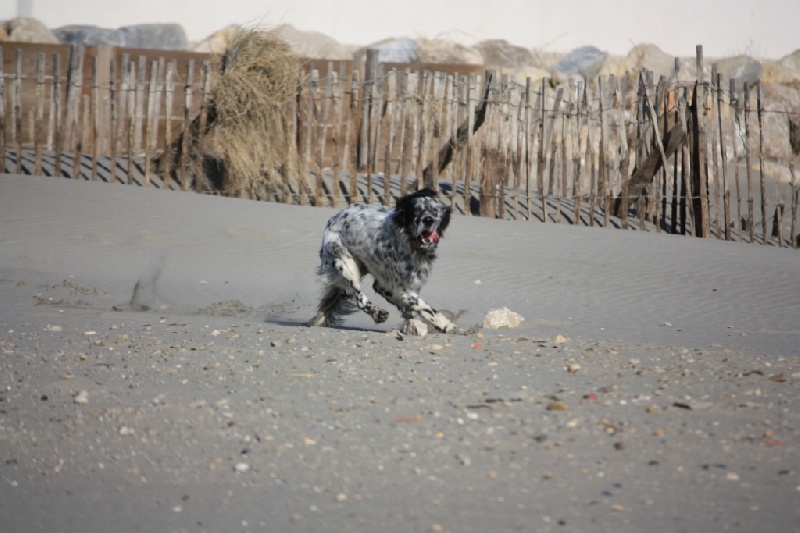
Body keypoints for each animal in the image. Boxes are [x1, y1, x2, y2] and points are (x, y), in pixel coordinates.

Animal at [310, 188, 462, 332]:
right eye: (417, 210)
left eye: (435, 210)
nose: (428, 220)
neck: (410, 242)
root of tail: (335, 218)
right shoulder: (402, 288)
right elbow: (427, 309)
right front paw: (449, 326)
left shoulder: (403, 285)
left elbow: (414, 307)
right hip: (346, 264)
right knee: (360, 299)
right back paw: (377, 313)